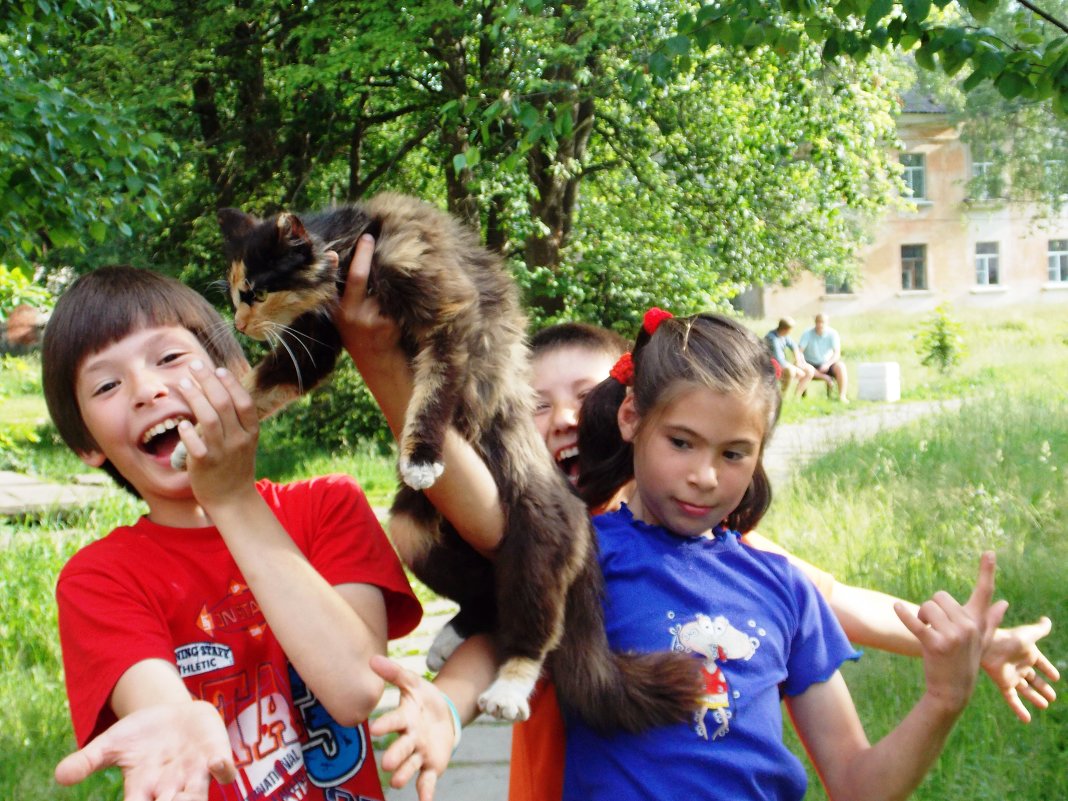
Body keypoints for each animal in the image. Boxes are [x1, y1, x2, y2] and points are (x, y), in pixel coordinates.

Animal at [201, 193, 700, 734]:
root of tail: (579, 511)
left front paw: (420, 456)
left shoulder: (447, 313)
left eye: (253, 293)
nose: (240, 325)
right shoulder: (317, 342)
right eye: (237, 295)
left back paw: (509, 686)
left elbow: (434, 394)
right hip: (416, 529)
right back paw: (454, 635)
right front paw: (199, 436)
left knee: (535, 624)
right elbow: (261, 386)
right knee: (485, 596)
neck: (352, 241)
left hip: (537, 533)